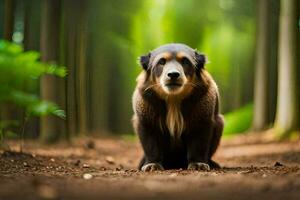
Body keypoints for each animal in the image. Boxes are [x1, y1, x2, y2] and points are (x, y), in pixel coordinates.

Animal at [132, 43, 224, 172]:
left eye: (185, 61)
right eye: (161, 61)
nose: (173, 74)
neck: (173, 100)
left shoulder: (203, 107)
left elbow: (199, 140)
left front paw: (198, 164)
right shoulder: (145, 108)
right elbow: (150, 140)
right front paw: (152, 164)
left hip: (219, 122)